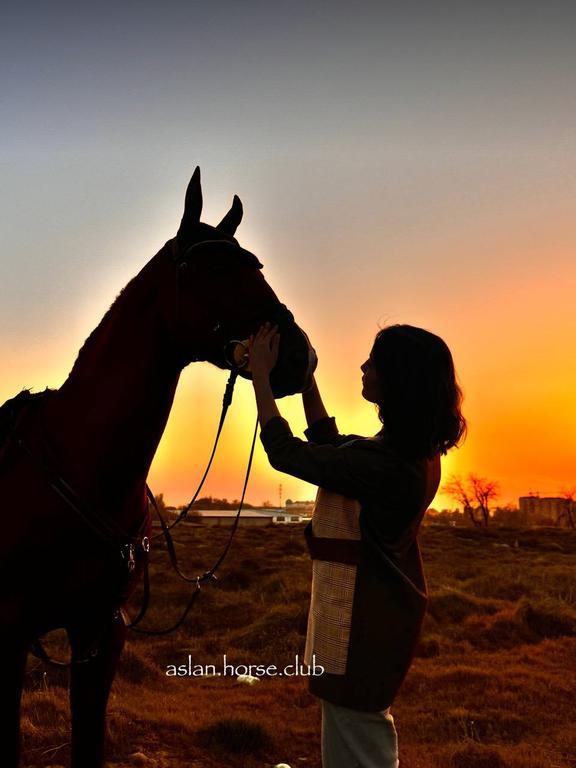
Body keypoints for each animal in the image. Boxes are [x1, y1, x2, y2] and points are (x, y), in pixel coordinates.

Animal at [0, 167, 315, 768]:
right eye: (210, 269)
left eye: (257, 267)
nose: (299, 357)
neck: (77, 464)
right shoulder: (7, 632)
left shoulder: (100, 632)